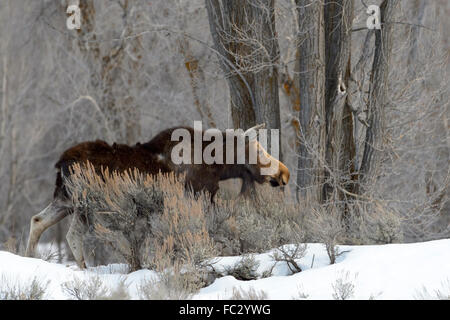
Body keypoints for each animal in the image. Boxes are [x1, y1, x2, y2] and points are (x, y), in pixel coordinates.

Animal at [24, 124, 290, 268]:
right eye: (258, 149)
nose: (284, 172)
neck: (218, 165)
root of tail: (60, 163)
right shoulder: (196, 197)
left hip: (64, 201)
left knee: (38, 221)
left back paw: (30, 259)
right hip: (86, 205)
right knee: (76, 235)